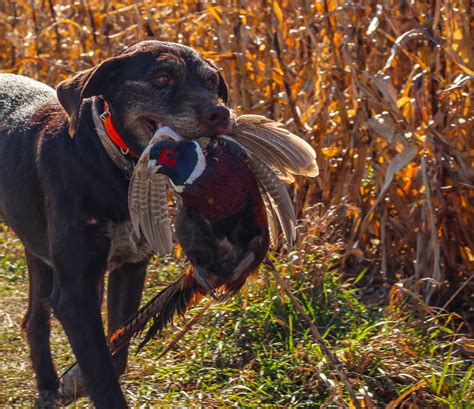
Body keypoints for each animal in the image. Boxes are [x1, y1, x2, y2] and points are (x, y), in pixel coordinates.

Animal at [0, 41, 230, 408]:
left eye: (211, 82)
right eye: (162, 78)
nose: (220, 114)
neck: (112, 163)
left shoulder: (130, 267)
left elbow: (115, 354)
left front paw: (74, 380)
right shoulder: (76, 292)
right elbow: (103, 375)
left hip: (38, 251)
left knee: (35, 315)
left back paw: (49, 385)